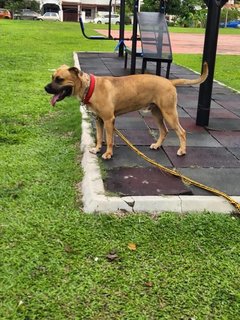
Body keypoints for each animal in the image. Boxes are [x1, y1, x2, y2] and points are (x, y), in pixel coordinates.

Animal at [45, 63, 208, 160]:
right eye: (52, 77)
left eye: (59, 79)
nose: (45, 88)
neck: (90, 87)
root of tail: (169, 81)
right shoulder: (99, 120)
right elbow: (99, 136)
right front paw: (97, 149)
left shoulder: (109, 120)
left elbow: (109, 139)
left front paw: (108, 153)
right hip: (157, 113)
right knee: (164, 131)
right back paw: (157, 145)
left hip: (169, 113)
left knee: (182, 132)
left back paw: (182, 150)